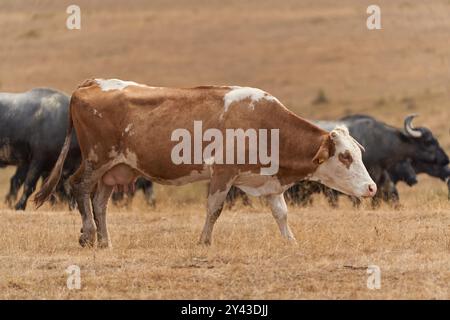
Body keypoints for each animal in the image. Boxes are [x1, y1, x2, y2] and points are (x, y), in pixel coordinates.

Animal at [34, 79, 376, 249]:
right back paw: (89, 234)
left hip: (117, 169)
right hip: (96, 159)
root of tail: (90, 84)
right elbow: (214, 209)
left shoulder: (268, 181)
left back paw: (105, 240)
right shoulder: (223, 173)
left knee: (100, 201)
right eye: (345, 156)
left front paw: (290, 241)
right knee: (78, 187)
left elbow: (281, 213)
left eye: (358, 153)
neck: (264, 123)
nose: (371, 187)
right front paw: (204, 241)